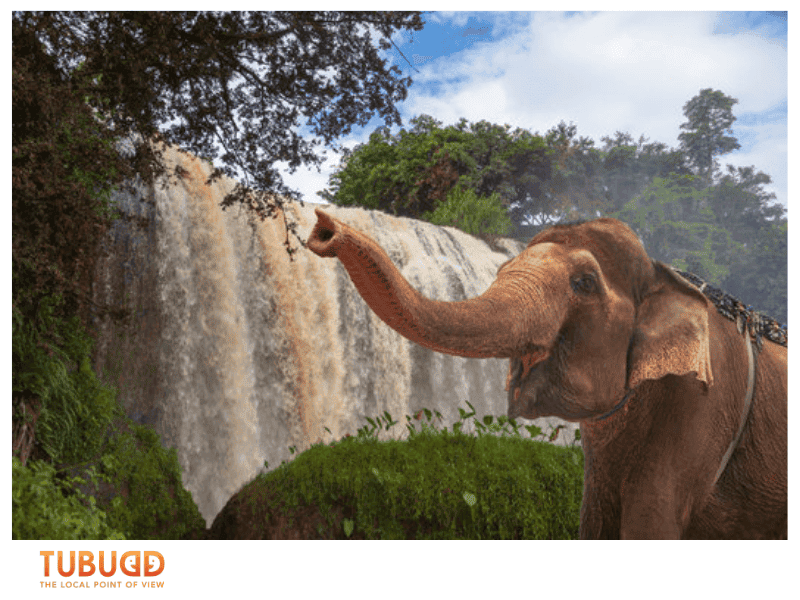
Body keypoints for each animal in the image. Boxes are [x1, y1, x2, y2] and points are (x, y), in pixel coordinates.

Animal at [306, 208, 787, 539]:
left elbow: (649, 525)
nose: (324, 228)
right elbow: (594, 526)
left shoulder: (702, 408)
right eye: (500, 270)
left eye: (584, 283)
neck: (664, 274)